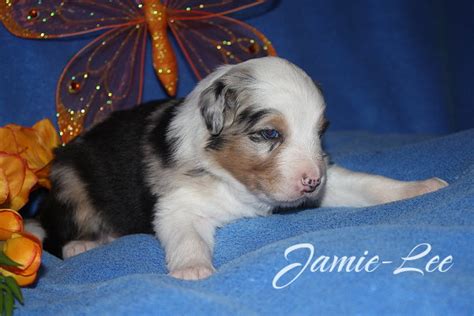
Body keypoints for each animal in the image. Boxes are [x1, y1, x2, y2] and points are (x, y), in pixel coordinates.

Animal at [38, 56, 448, 278]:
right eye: (269, 134)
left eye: (320, 132)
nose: (311, 181)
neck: (233, 180)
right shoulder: (178, 205)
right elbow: (186, 235)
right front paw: (192, 270)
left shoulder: (329, 179)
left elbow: (367, 183)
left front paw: (421, 187)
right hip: (68, 178)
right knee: (54, 233)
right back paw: (84, 245)